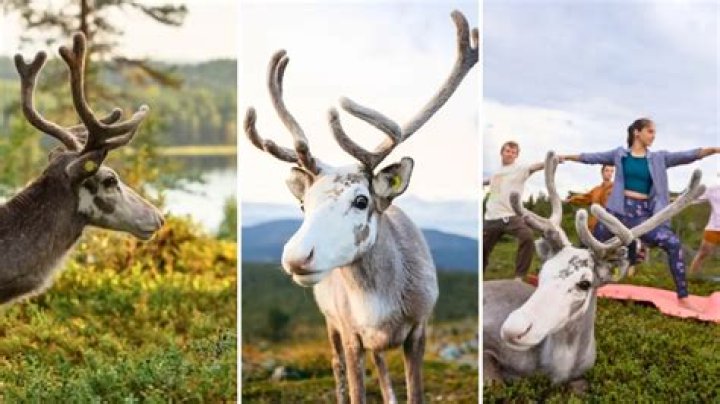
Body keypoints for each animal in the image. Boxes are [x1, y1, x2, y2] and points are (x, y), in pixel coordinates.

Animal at [244, 10, 478, 404]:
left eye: (361, 200)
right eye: (303, 205)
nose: (296, 257)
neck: (380, 306)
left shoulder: (419, 328)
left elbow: (415, 392)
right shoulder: (349, 330)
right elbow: (354, 388)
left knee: (381, 364)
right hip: (329, 322)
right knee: (337, 364)